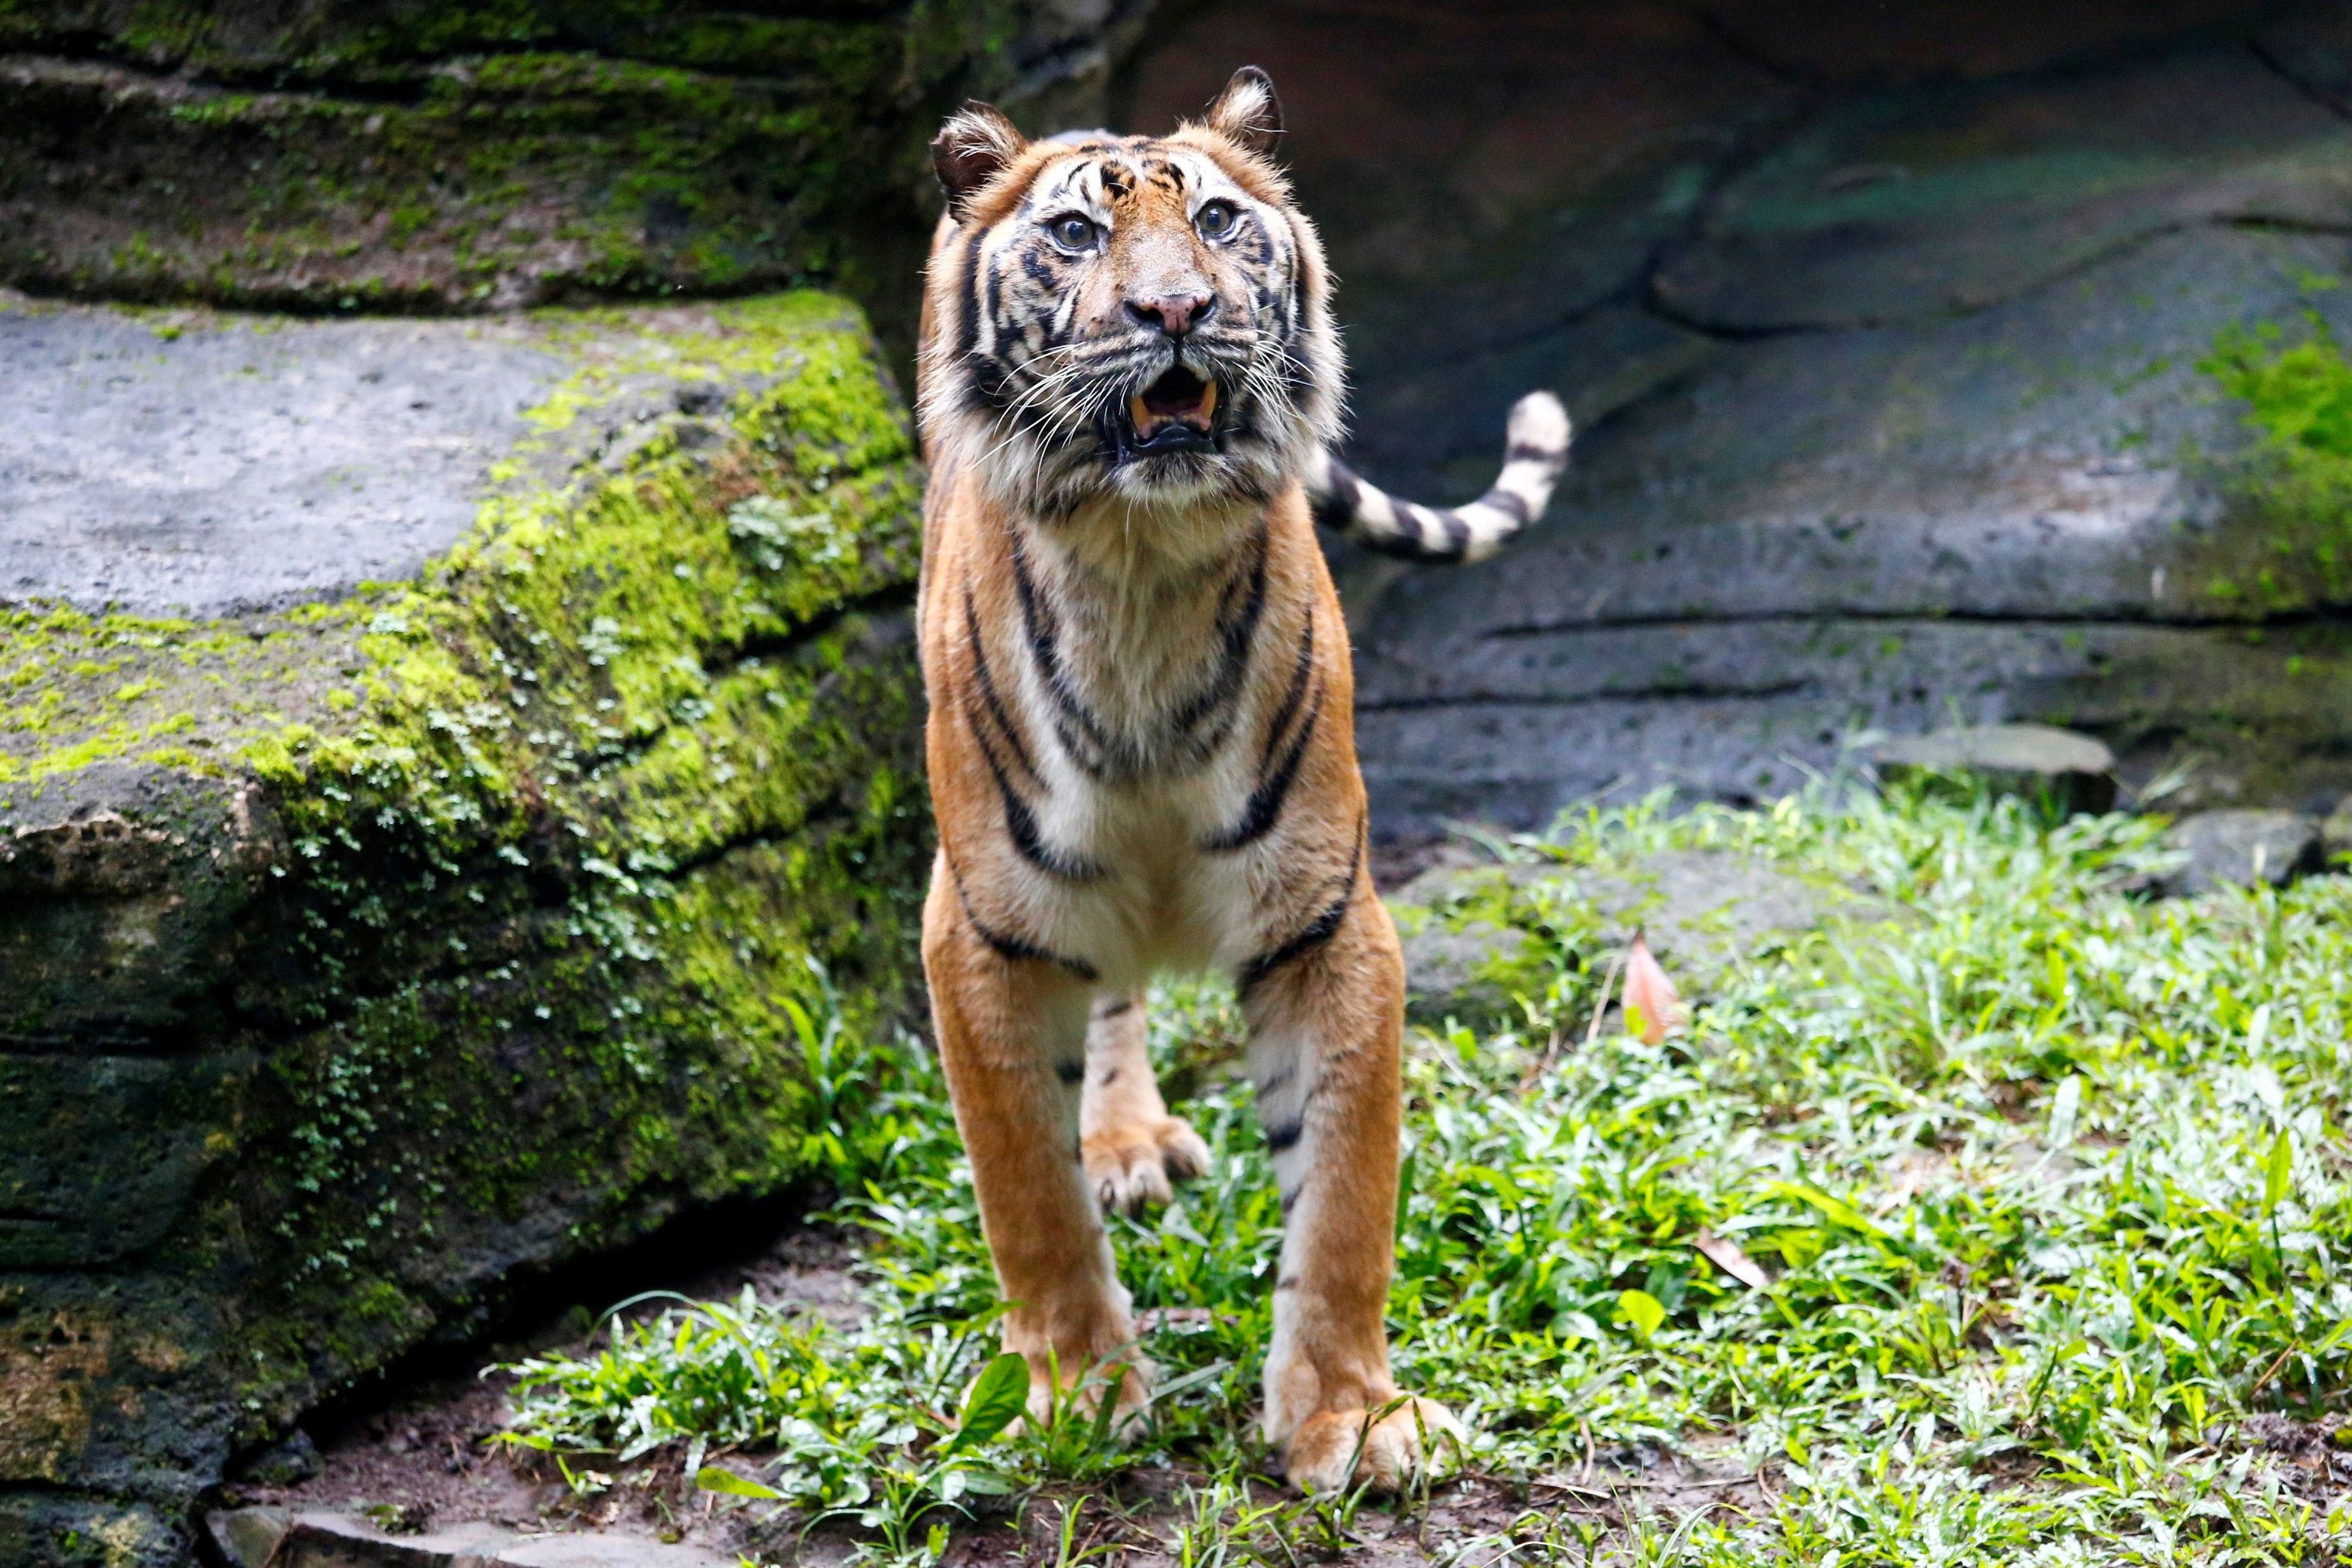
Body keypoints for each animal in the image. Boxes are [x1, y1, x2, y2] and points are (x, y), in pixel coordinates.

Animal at [907, 64, 1571, 1495]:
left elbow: (1341, 1201)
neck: (1141, 571)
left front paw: (1350, 1417)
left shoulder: (1325, 919)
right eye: (1075, 234)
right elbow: (1027, 1198)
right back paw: (1118, 1143)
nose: (1175, 310)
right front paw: (1072, 1393)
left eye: (1214, 220)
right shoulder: (979, 930)